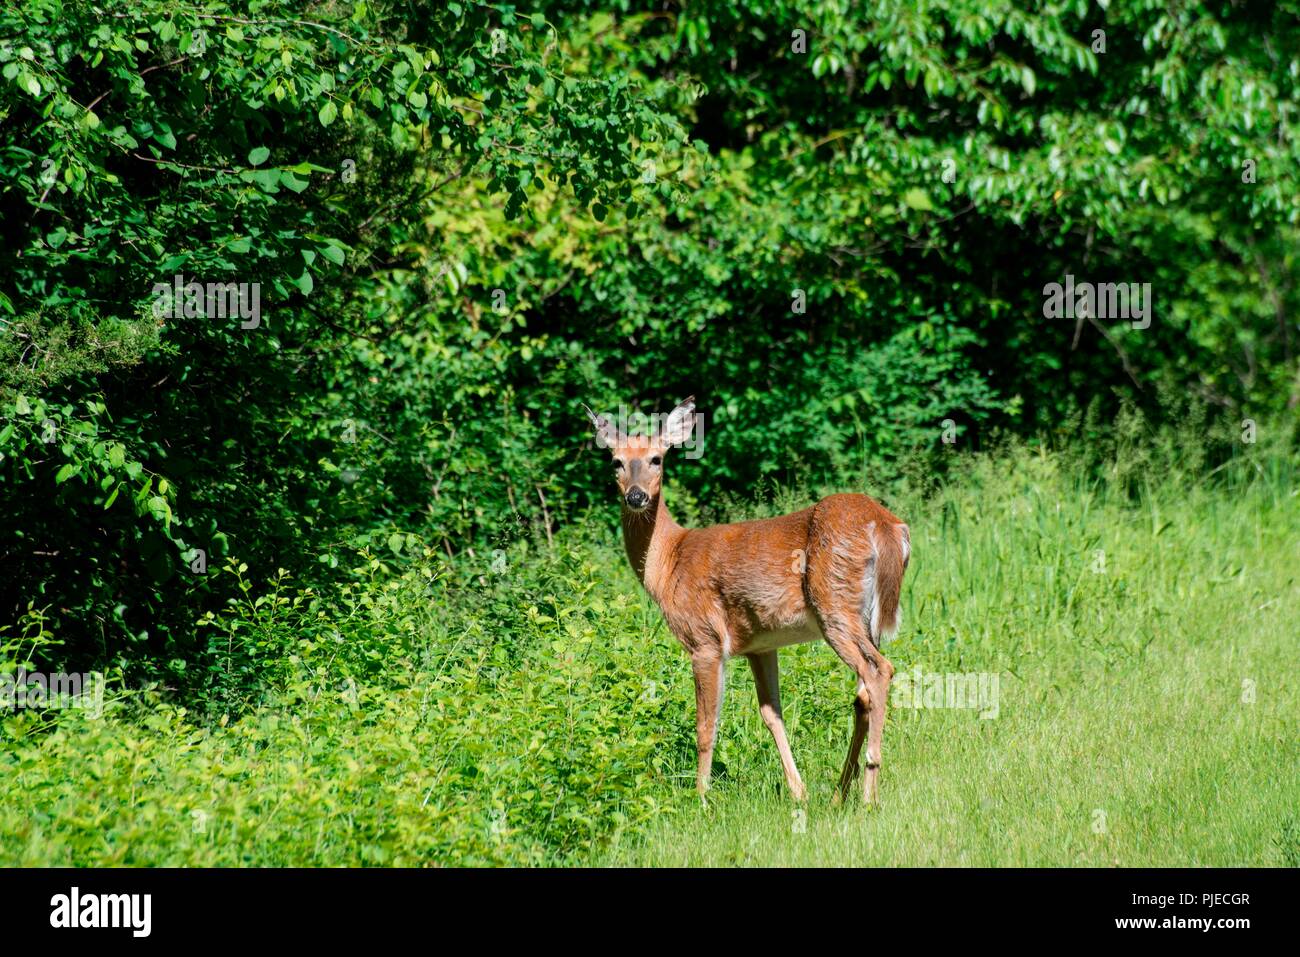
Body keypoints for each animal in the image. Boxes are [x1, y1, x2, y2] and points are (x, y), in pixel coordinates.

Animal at [585, 392, 909, 806]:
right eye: (616, 461)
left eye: (657, 458)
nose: (636, 496)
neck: (669, 561)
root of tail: (887, 526)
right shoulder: (760, 644)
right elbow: (772, 713)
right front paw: (798, 791)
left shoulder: (704, 639)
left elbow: (706, 724)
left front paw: (702, 799)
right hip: (866, 619)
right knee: (862, 695)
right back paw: (839, 792)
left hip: (834, 606)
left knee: (878, 672)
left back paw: (868, 794)